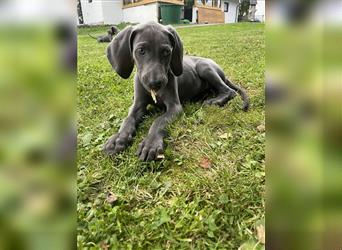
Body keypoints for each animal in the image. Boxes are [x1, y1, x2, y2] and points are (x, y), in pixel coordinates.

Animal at [103, 22, 250, 162]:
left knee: (230, 91)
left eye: (166, 52)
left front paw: (151, 144)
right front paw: (118, 139)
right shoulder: (137, 105)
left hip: (204, 67)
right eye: (141, 50)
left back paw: (214, 101)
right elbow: (127, 120)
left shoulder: (175, 107)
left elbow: (159, 121)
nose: (155, 83)